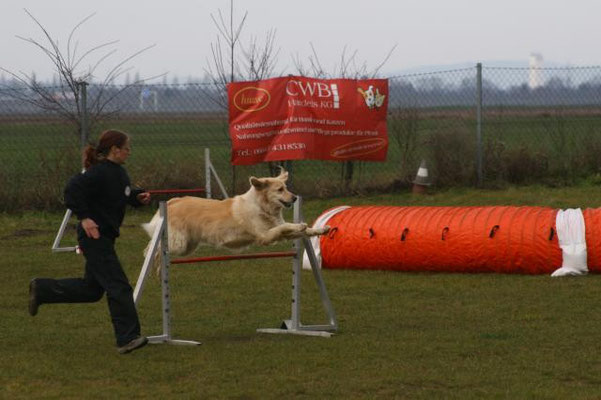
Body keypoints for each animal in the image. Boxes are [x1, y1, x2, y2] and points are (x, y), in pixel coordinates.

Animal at [143, 167, 330, 268]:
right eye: (280, 190)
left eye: (286, 187)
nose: (295, 198)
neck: (262, 207)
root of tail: (172, 202)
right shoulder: (265, 236)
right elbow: (285, 226)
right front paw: (300, 225)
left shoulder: (278, 233)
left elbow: (297, 229)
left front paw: (321, 229)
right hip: (178, 244)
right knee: (153, 248)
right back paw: (155, 262)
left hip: (188, 246)